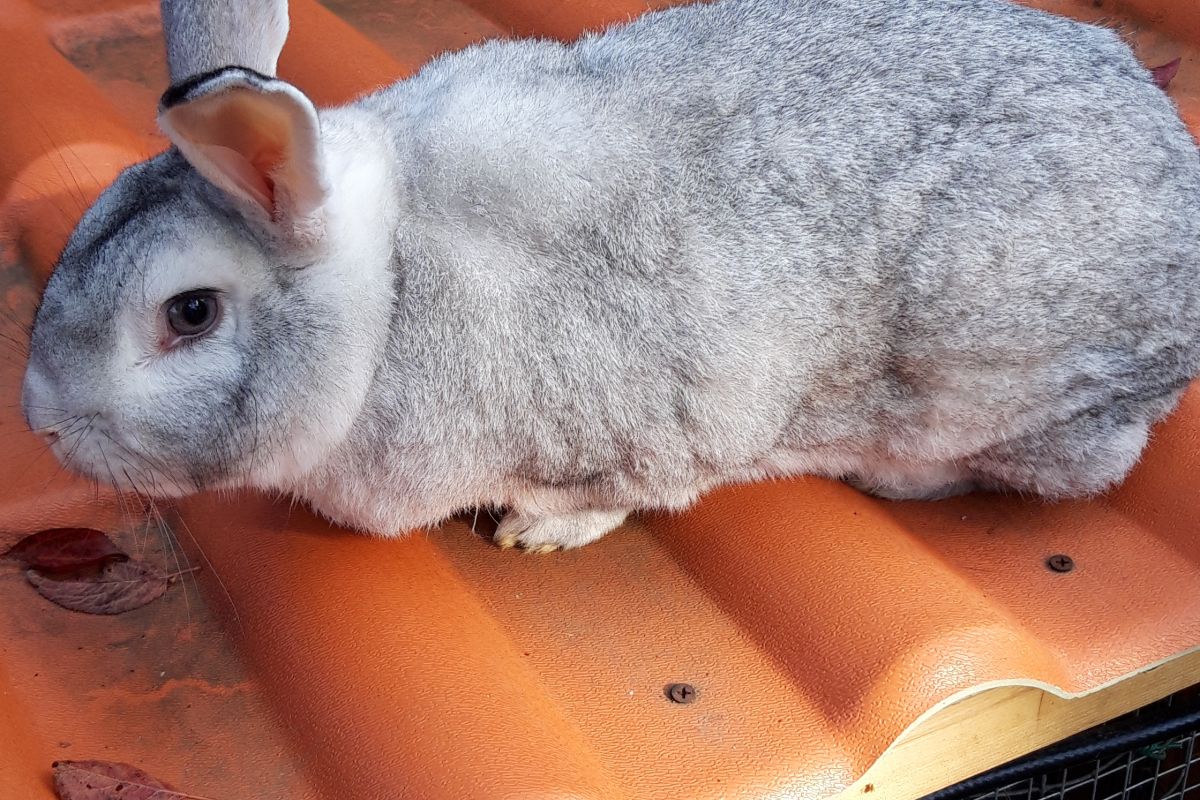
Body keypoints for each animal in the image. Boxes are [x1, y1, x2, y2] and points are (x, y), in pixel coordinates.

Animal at [21, 0, 1200, 552]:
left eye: (189, 312)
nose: (40, 422)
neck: (392, 293)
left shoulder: (655, 431)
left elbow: (631, 492)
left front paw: (540, 530)